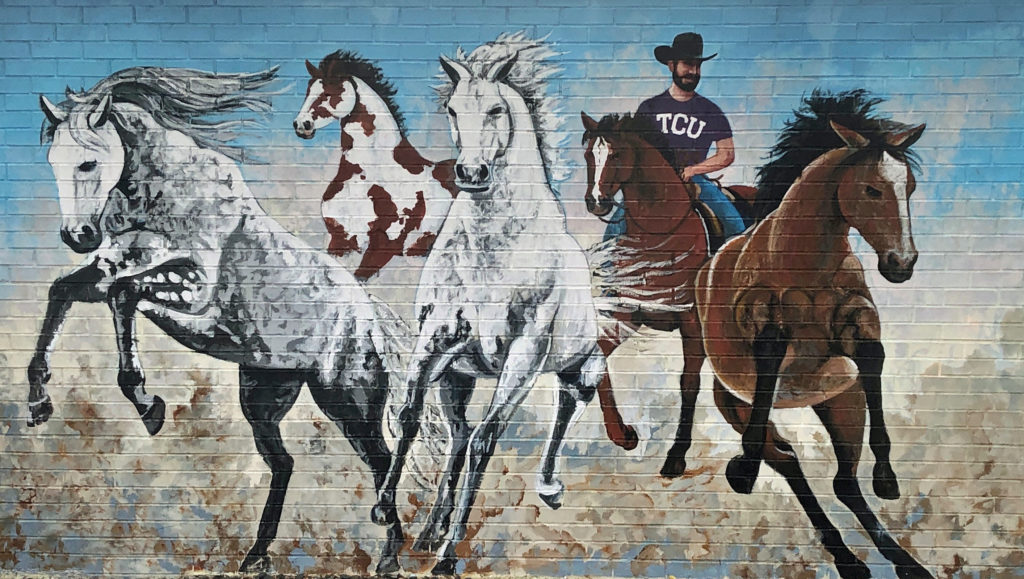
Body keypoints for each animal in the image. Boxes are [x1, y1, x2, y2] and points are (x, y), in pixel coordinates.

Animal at [28, 67, 405, 573]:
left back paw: (390, 556)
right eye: (53, 160)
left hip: (348, 403)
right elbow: (67, 292)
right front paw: (39, 401)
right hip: (262, 396)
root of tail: (371, 319)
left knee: (382, 461)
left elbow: (124, 295)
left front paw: (147, 404)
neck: (165, 196)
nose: (78, 235)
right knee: (284, 464)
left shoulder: (194, 288)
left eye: (88, 163)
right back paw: (255, 557)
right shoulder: (111, 269)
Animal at [372, 32, 602, 573]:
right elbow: (409, 415)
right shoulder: (438, 337)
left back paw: (546, 489)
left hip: (580, 365)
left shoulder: (523, 354)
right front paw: (386, 510)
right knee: (457, 432)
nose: (471, 172)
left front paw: (448, 557)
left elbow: (485, 441)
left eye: (497, 109)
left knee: (568, 400)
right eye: (454, 109)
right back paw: (429, 531)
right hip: (458, 376)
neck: (492, 251)